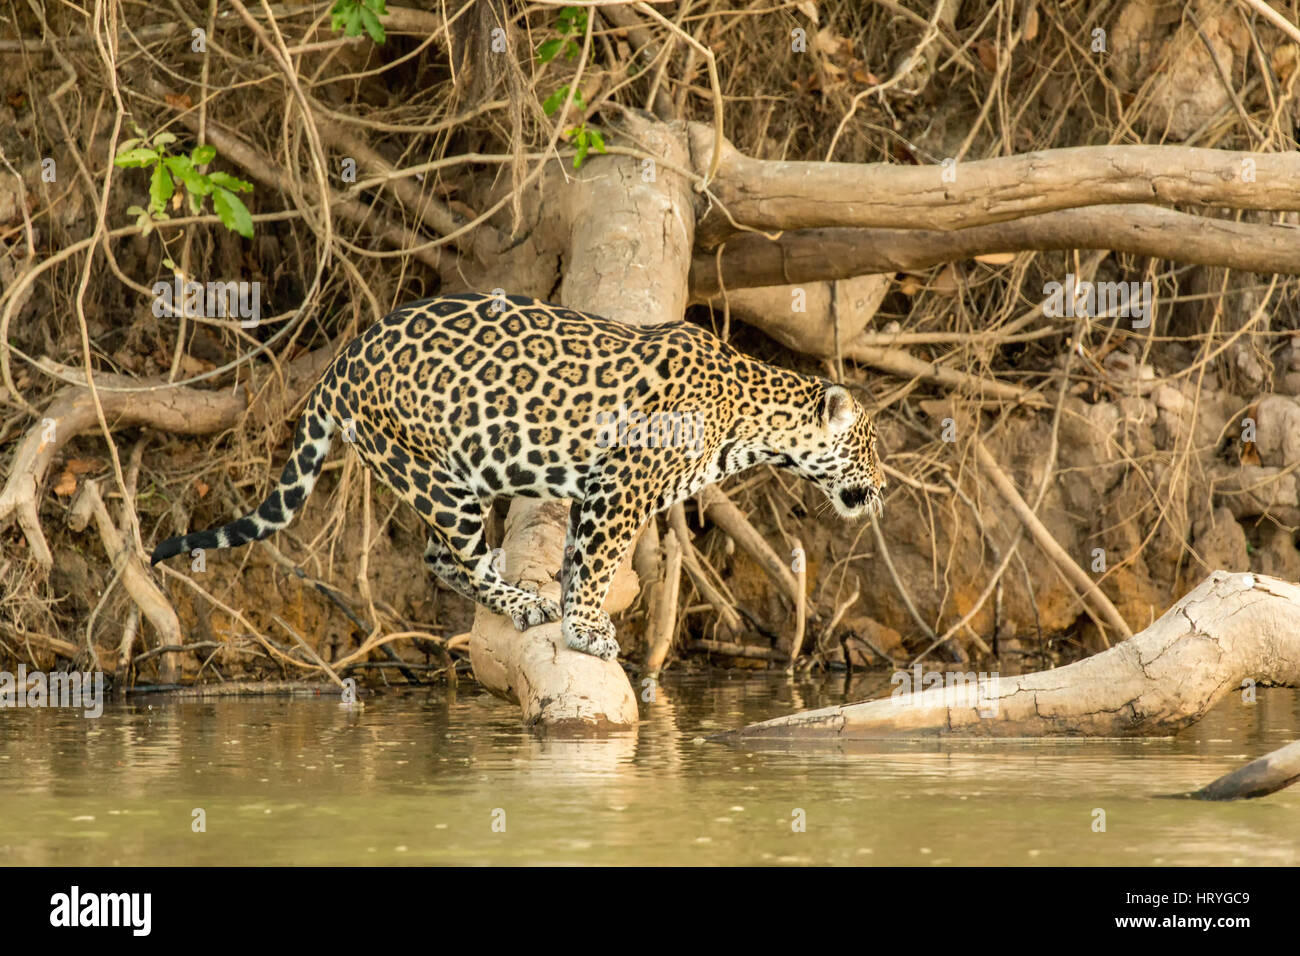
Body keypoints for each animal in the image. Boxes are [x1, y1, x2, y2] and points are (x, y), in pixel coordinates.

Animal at [151, 293, 886, 661]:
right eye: (873, 448)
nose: (882, 491)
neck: (750, 418)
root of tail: (340, 363)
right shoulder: (623, 486)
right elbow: (599, 561)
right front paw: (585, 630)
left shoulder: (598, 488)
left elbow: (581, 557)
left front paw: (579, 611)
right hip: (436, 475)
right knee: (453, 558)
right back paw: (517, 601)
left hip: (454, 477)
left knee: (439, 555)